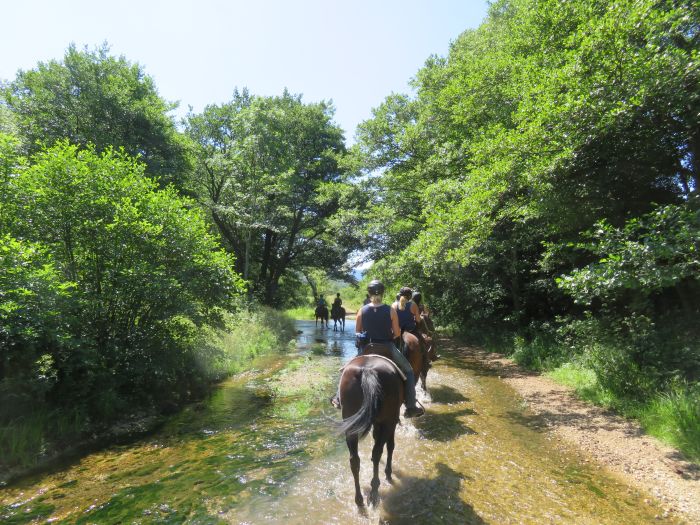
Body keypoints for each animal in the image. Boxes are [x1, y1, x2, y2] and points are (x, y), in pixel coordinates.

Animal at [338, 350, 402, 506]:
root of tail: (368, 370)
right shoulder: (391, 421)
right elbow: (390, 446)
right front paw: (388, 473)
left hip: (351, 426)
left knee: (354, 460)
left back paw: (359, 498)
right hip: (388, 422)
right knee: (378, 452)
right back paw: (374, 491)